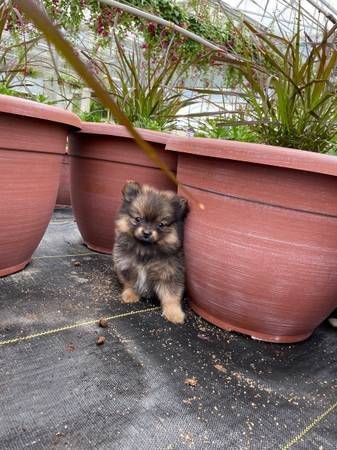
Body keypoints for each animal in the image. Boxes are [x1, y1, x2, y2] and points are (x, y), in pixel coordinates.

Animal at [112, 180, 186, 324]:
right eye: (138, 219)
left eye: (161, 224)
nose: (147, 233)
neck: (145, 250)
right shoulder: (127, 266)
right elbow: (130, 283)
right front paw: (130, 294)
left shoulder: (168, 273)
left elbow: (171, 296)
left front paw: (174, 314)